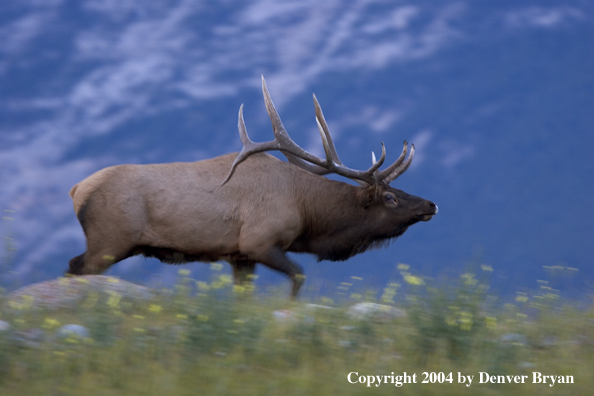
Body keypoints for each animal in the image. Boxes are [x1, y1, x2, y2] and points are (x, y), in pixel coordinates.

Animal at [67, 76, 438, 296]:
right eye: (389, 197)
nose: (431, 204)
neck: (308, 215)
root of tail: (76, 191)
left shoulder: (240, 256)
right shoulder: (261, 242)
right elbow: (299, 276)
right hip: (110, 240)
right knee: (79, 268)